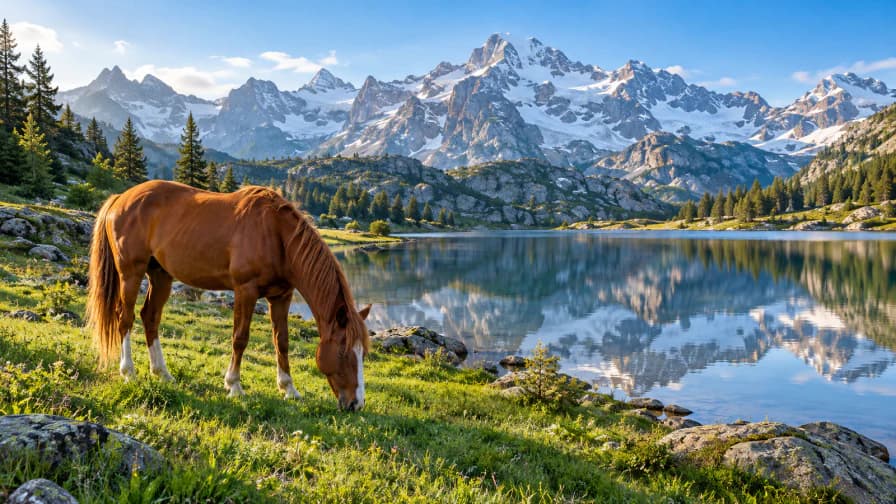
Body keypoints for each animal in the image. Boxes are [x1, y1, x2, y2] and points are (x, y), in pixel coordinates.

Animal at [85, 180, 371, 411]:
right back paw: (128, 372)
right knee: (125, 318)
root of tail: (121, 198)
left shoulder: (282, 296)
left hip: (161, 275)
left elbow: (282, 341)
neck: (276, 234)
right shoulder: (246, 290)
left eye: (362, 354)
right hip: (131, 273)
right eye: (344, 353)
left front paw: (289, 389)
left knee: (150, 317)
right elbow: (240, 338)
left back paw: (162, 373)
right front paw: (233, 385)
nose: (356, 404)